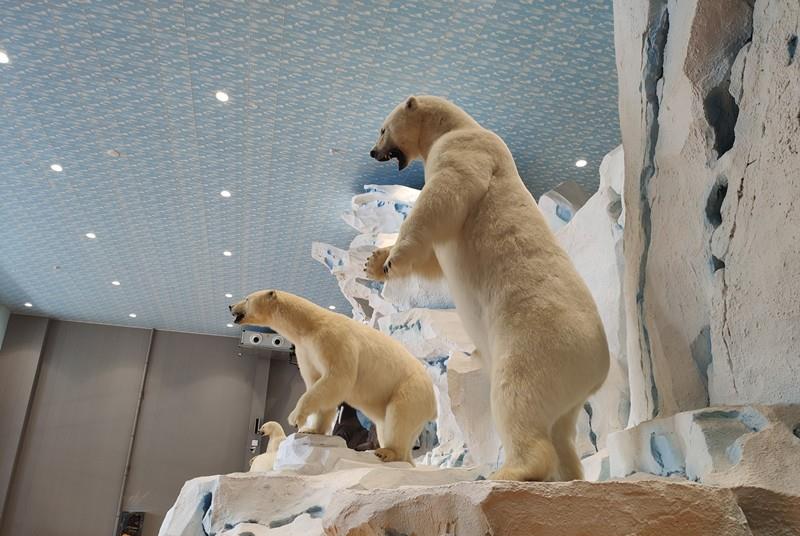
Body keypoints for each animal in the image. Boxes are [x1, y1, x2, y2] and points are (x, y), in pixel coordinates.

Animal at [228, 288, 434, 464]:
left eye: (246, 298)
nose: (230, 306)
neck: (310, 325)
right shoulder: (306, 351)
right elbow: (318, 384)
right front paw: (313, 430)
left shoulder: (332, 340)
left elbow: (336, 380)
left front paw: (296, 418)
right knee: (386, 423)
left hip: (410, 389)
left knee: (398, 416)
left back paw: (388, 452)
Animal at [366, 96, 608, 482]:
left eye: (382, 128)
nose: (373, 152)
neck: (457, 125)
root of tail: (599, 367)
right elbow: (435, 258)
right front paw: (374, 261)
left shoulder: (467, 150)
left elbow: (443, 199)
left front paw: (392, 260)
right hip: (568, 384)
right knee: (560, 425)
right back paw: (569, 474)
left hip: (539, 342)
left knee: (517, 398)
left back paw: (510, 471)